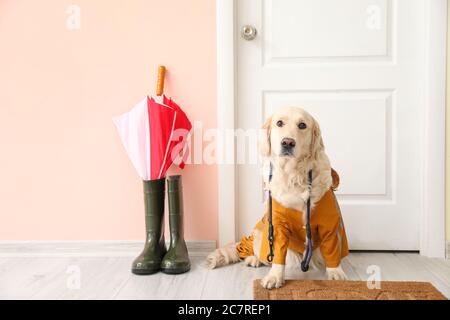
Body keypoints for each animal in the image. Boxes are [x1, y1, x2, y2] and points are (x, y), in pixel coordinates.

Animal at [206, 106, 350, 288]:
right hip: (261, 233)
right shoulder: (278, 224)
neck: (294, 175)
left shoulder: (329, 224)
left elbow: (332, 250)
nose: (287, 142)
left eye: (302, 125)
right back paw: (254, 259)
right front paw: (275, 277)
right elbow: (278, 254)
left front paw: (336, 272)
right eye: (279, 123)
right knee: (258, 251)